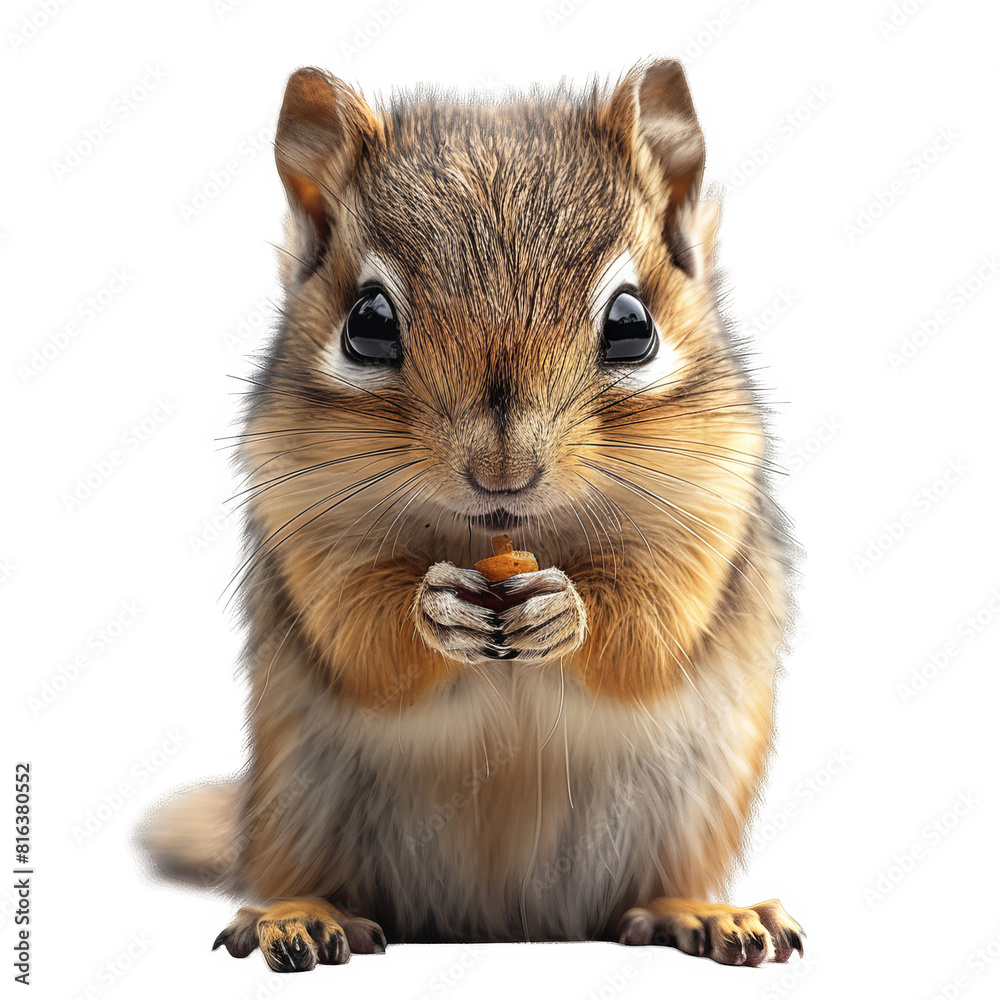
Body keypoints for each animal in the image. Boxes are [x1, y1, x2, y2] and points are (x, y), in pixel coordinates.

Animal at [140, 57, 804, 971]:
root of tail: (502, 921)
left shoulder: (708, 501)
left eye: (632, 324)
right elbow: (359, 633)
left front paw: (568, 609)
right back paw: (300, 914)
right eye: (367, 323)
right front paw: (434, 608)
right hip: (296, 812)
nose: (503, 472)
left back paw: (702, 912)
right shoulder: (300, 512)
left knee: (653, 889)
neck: (503, 539)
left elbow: (653, 627)